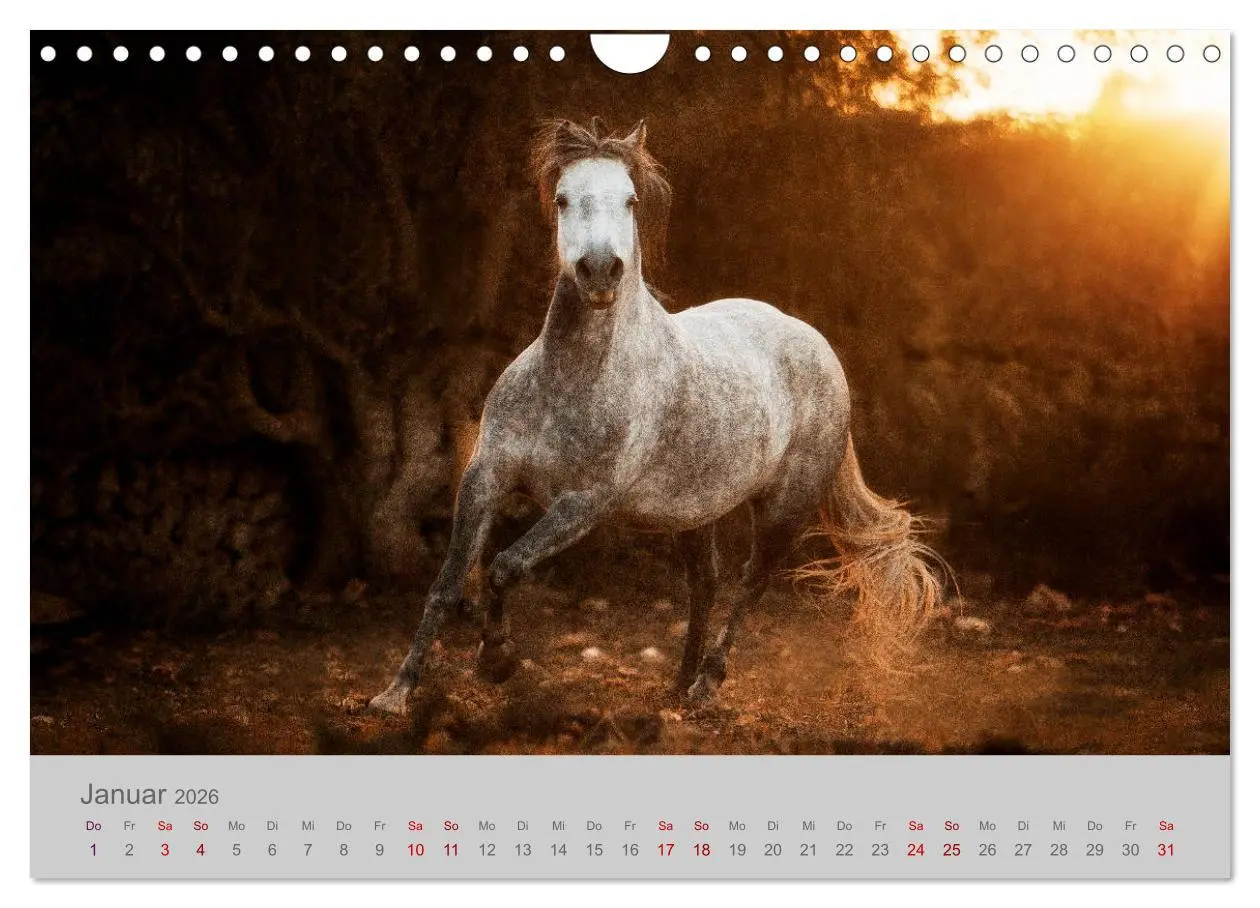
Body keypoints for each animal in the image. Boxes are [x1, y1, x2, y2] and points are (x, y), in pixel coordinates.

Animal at [369, 118, 942, 715]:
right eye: (562, 198)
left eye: (631, 200)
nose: (600, 271)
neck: (571, 381)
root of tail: (817, 345)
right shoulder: (485, 477)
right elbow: (450, 580)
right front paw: (397, 692)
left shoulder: (586, 501)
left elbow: (505, 566)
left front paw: (496, 660)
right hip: (695, 510)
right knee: (705, 583)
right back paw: (678, 685)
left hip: (785, 508)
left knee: (749, 585)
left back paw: (706, 686)